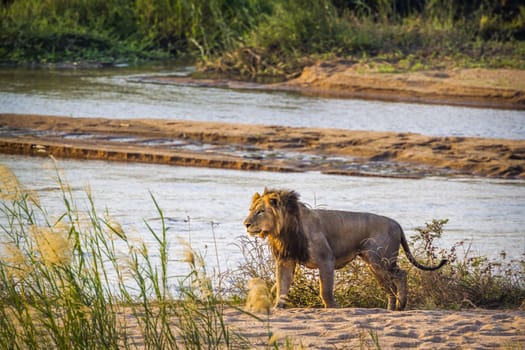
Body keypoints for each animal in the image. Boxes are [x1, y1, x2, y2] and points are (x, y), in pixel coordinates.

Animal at [244, 190, 444, 310]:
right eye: (251, 209)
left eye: (261, 211)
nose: (246, 224)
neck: (283, 231)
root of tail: (396, 223)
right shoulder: (286, 261)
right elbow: (282, 286)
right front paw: (277, 307)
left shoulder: (326, 259)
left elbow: (325, 289)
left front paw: (333, 308)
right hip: (375, 265)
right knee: (390, 286)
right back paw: (391, 309)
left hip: (380, 260)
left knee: (401, 275)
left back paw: (401, 305)